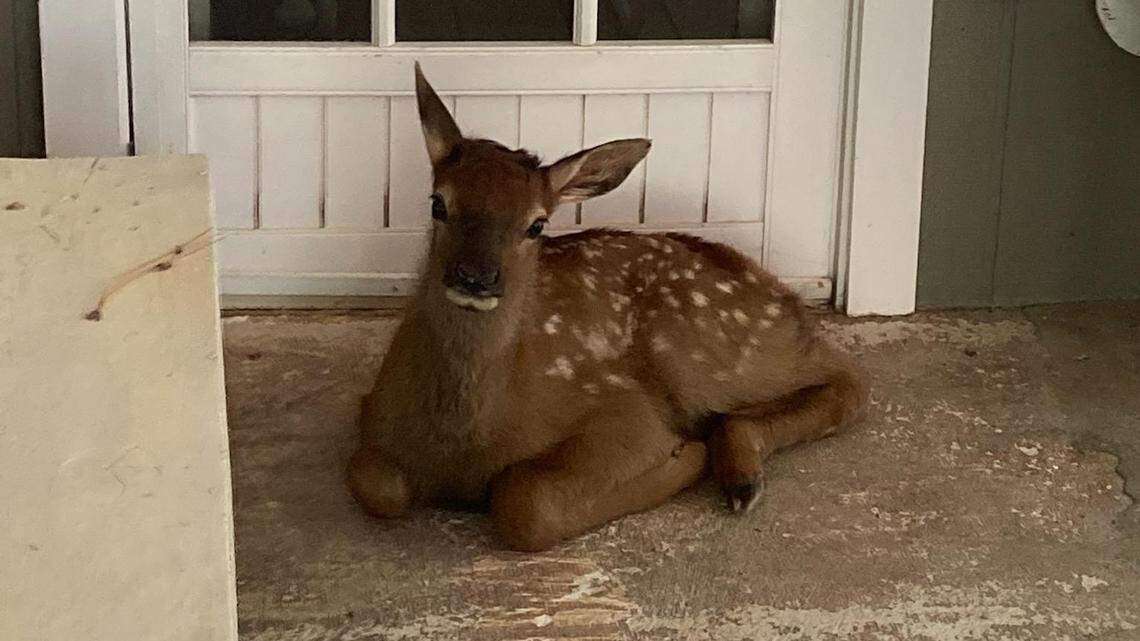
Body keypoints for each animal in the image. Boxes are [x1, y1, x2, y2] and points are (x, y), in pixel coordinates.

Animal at [348, 63, 868, 552]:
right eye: (438, 203)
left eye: (537, 224)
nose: (476, 277)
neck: (463, 442)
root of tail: (769, 283)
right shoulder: (373, 413)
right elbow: (376, 484)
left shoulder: (624, 412)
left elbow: (525, 501)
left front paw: (683, 456)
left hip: (707, 348)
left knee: (847, 375)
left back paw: (739, 476)